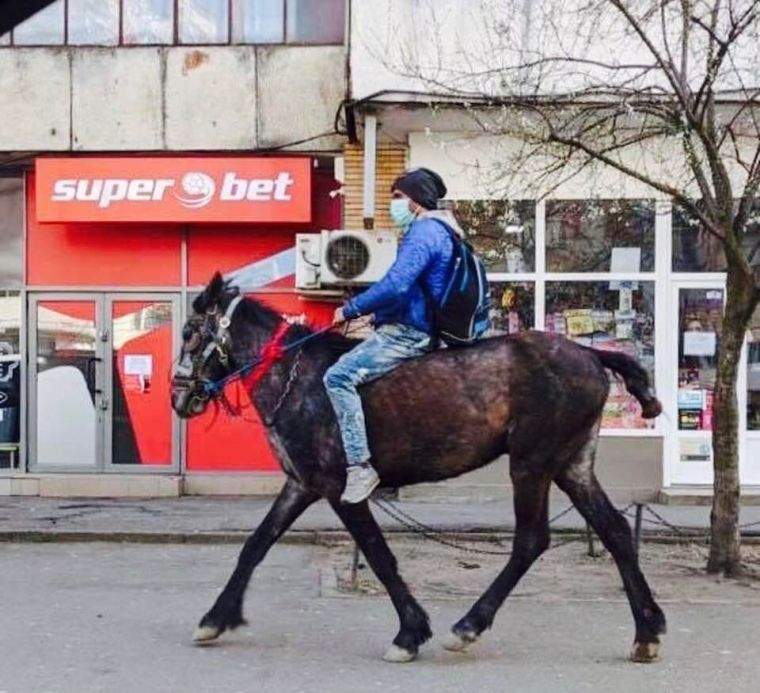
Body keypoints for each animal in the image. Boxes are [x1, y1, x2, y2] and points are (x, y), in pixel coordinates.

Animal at [171, 272, 664, 664]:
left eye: (191, 331)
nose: (178, 397)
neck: (296, 377)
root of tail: (590, 354)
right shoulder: (300, 484)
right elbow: (256, 544)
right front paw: (216, 618)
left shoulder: (338, 488)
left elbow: (378, 554)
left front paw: (410, 632)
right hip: (571, 465)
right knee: (616, 531)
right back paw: (647, 631)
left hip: (531, 464)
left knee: (531, 541)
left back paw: (468, 626)